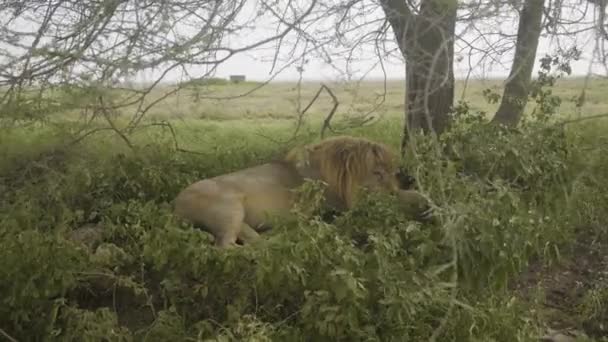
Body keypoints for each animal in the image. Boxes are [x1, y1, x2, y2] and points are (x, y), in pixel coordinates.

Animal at [173, 136, 434, 248]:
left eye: (393, 172)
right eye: (378, 173)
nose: (391, 189)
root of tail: (173, 206)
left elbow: (409, 195)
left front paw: (426, 202)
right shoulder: (346, 206)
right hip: (230, 206)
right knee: (226, 248)